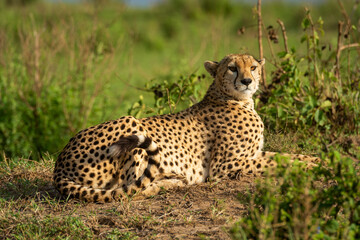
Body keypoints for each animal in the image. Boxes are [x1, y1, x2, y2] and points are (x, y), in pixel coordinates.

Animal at [52, 53, 318, 202]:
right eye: (232, 68)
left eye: (253, 67)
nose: (246, 81)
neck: (234, 98)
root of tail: (59, 166)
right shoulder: (223, 168)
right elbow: (281, 162)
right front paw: (314, 165)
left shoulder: (251, 154)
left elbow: (287, 156)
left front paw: (317, 160)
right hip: (131, 122)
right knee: (128, 190)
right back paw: (171, 183)